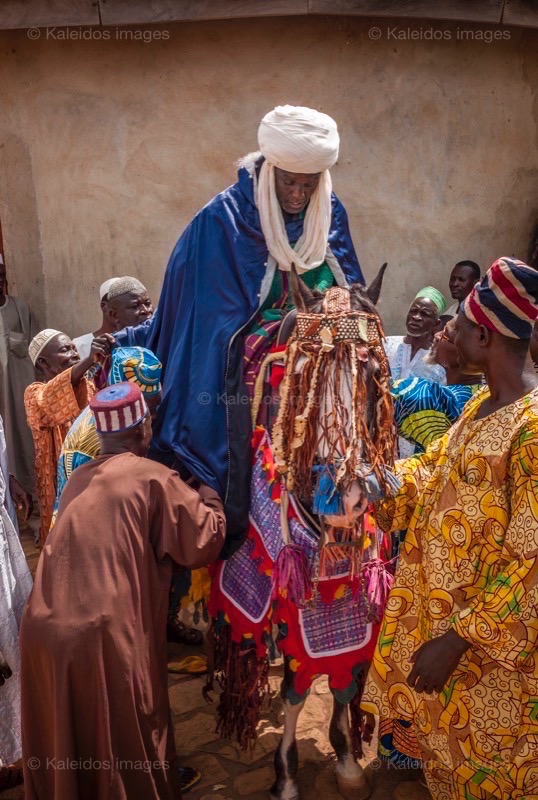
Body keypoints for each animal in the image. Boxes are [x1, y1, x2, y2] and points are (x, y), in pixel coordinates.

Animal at [207, 264, 396, 800]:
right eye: (306, 375)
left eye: (375, 375)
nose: (347, 496)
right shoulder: (295, 590)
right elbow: (296, 686)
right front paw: (286, 773)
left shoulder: (353, 586)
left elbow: (346, 677)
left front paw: (347, 756)